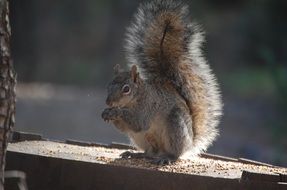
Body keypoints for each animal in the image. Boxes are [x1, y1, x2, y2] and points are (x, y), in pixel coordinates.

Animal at [102, 0, 224, 164]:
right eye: (108, 86)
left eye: (126, 89)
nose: (108, 102)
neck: (136, 98)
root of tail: (190, 143)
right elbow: (126, 127)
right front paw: (106, 113)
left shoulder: (147, 108)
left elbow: (138, 123)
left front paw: (115, 112)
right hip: (143, 139)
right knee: (150, 152)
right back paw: (137, 154)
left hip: (175, 125)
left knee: (175, 153)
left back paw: (167, 158)